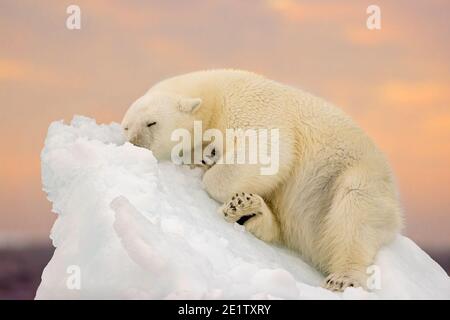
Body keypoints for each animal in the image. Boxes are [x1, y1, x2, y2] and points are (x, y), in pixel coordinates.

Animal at [121, 69, 402, 292]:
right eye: (126, 126)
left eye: (152, 122)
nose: (133, 142)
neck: (213, 97)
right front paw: (206, 158)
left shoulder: (250, 106)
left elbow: (269, 151)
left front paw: (211, 162)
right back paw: (247, 211)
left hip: (355, 177)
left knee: (354, 211)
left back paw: (343, 278)